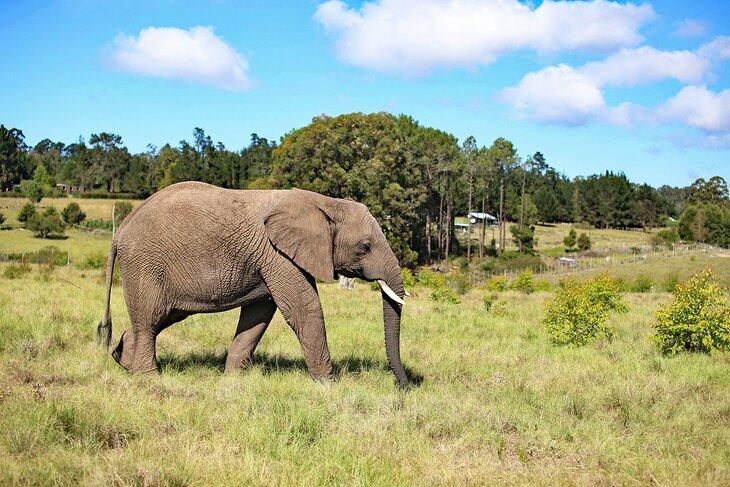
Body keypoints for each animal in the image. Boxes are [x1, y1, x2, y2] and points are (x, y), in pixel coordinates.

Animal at [97, 181, 411, 389]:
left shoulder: (269, 258)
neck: (325, 202)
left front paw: (233, 381)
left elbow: (258, 315)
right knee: (150, 321)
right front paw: (328, 387)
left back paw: (124, 362)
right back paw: (149, 379)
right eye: (364, 247)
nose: (405, 386)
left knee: (157, 319)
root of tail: (120, 231)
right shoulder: (278, 255)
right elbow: (304, 310)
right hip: (145, 264)